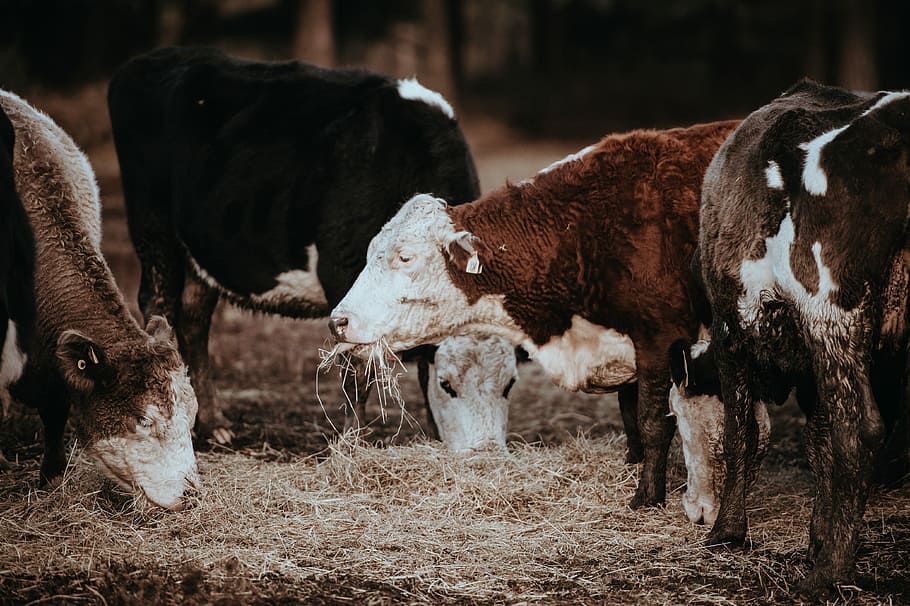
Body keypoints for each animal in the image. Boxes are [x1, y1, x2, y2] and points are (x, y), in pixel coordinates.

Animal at [329, 119, 741, 508]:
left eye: (405, 257)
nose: (338, 321)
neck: (582, 233)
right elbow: (630, 414)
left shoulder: (660, 338)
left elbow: (653, 421)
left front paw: (647, 496)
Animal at [696, 80, 910, 596]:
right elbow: (818, 443)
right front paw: (818, 535)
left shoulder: (730, 333)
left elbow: (739, 433)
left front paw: (727, 530)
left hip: (831, 310)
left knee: (860, 429)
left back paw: (829, 575)